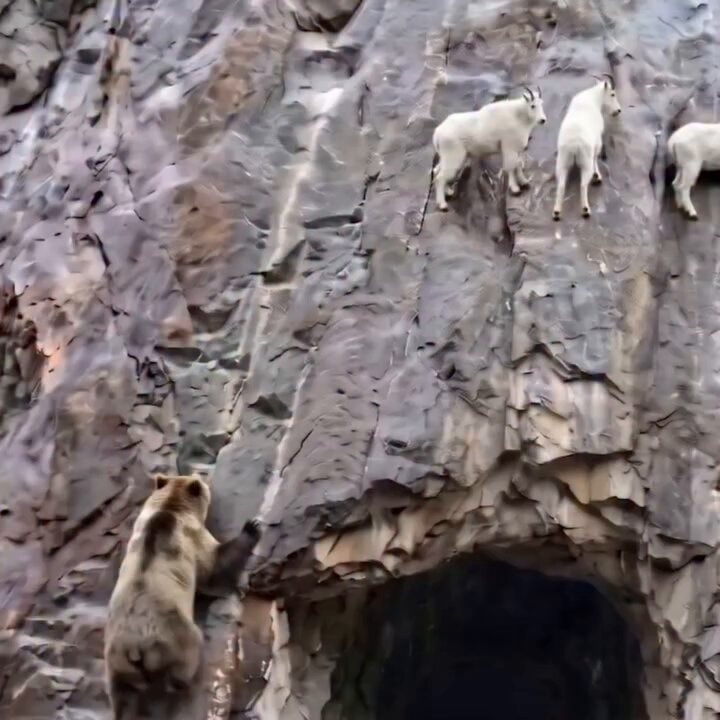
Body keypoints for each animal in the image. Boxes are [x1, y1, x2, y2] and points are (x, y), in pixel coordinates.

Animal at [552, 74, 622, 220]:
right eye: (612, 94)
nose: (618, 110)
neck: (593, 99)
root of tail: (573, 145)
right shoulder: (597, 141)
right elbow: (596, 156)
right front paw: (598, 176)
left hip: (562, 162)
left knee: (561, 185)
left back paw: (556, 212)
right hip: (585, 163)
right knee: (583, 185)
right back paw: (585, 210)